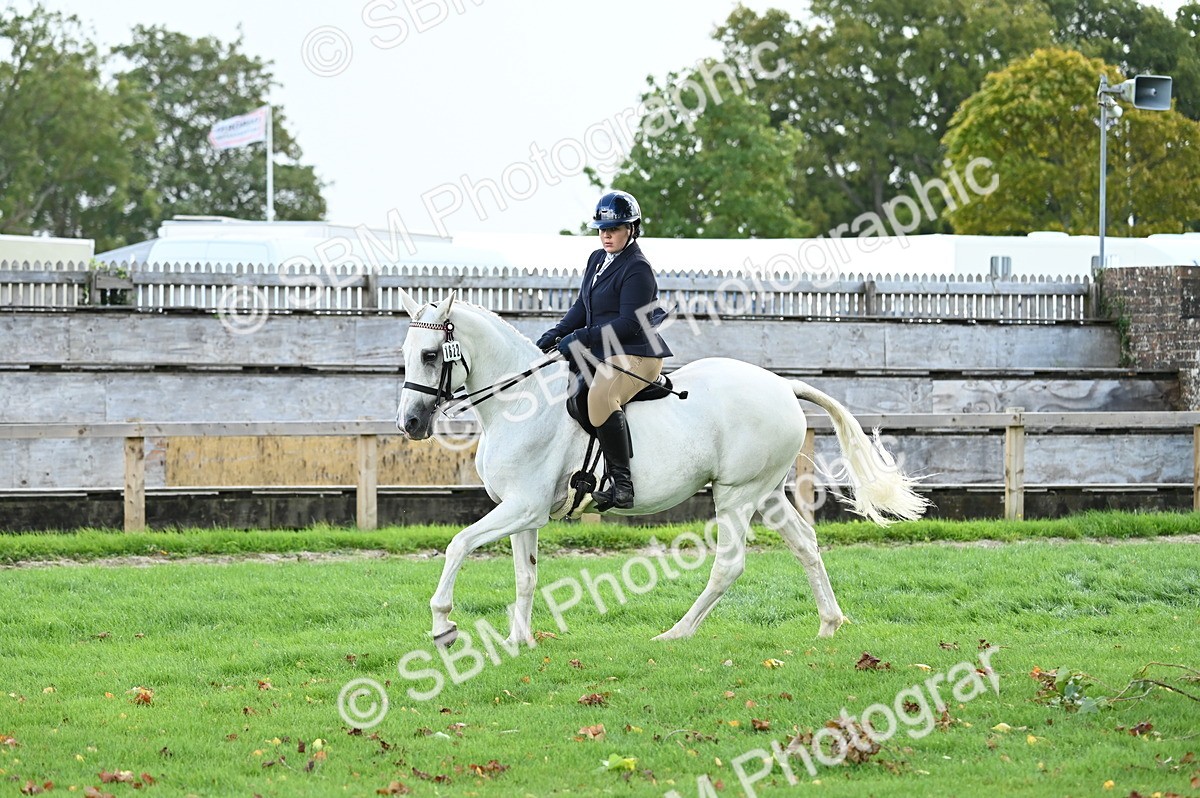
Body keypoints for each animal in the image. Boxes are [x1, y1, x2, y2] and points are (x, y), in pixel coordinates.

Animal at [395, 290, 928, 646]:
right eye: (406, 355)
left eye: (430, 355)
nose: (411, 423)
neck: (519, 402)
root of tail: (782, 385)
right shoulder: (523, 510)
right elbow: (525, 575)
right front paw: (518, 642)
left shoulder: (523, 507)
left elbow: (458, 544)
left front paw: (443, 625)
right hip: (768, 493)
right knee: (806, 545)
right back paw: (829, 624)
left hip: (735, 495)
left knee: (729, 564)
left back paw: (676, 633)